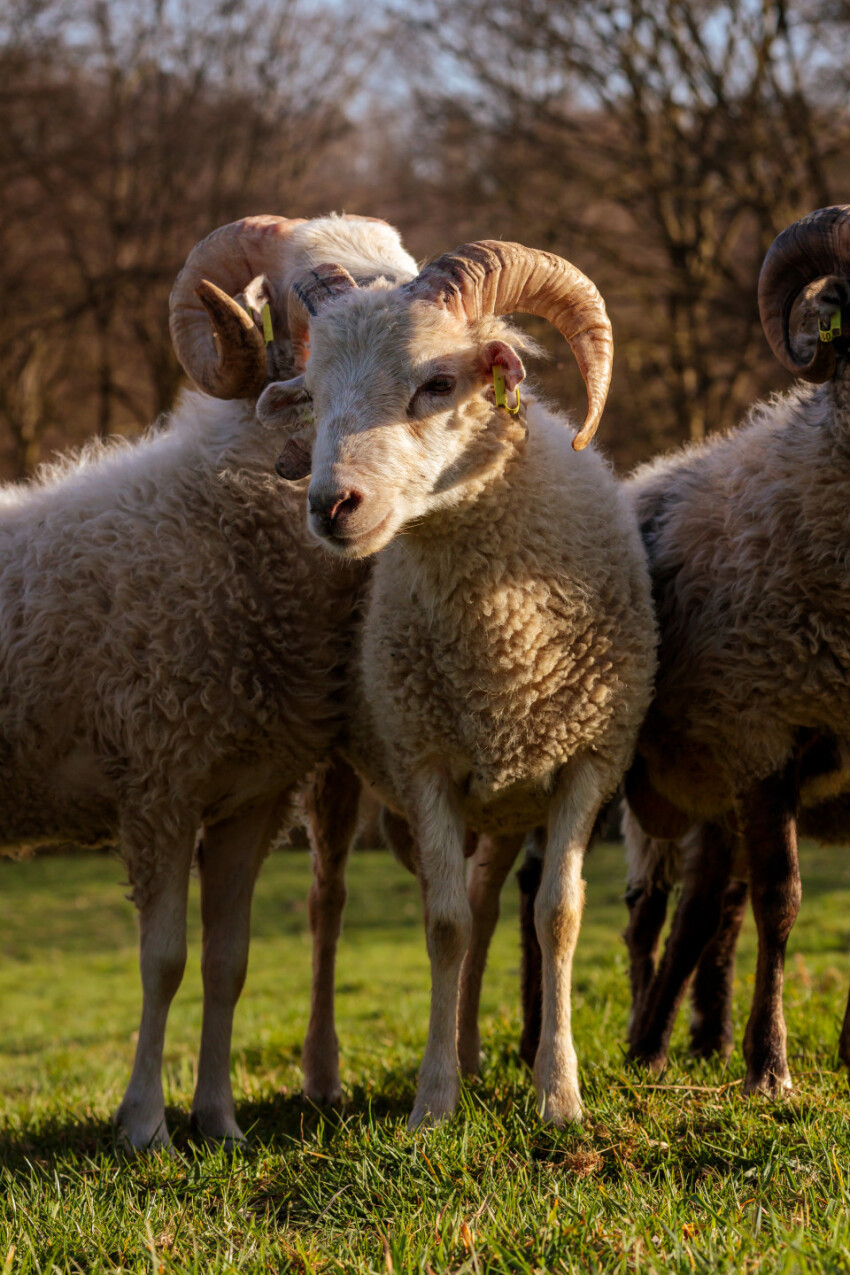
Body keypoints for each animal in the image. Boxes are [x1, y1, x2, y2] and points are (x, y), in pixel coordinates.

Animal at [261, 239, 657, 1127]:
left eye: (437, 384)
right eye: (313, 396)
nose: (331, 504)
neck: (502, 650)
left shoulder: (587, 761)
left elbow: (555, 915)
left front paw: (559, 1093)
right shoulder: (425, 763)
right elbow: (441, 925)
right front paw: (433, 1102)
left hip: (505, 799)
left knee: (485, 902)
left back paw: (476, 1050)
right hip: (341, 773)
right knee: (329, 903)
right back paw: (325, 1070)